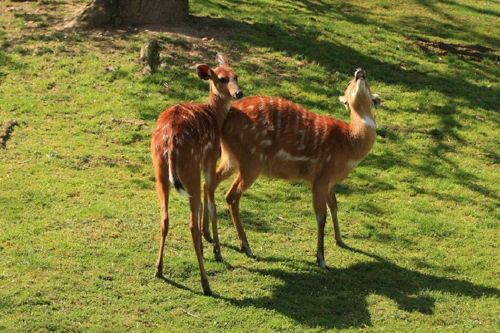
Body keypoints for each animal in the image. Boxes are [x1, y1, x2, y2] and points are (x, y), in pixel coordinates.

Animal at [151, 53, 243, 294]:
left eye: (236, 75)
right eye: (221, 78)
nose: (239, 93)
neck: (214, 116)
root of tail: (171, 142)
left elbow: (203, 202)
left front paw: (206, 241)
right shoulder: (209, 159)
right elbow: (211, 203)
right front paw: (216, 249)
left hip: (161, 171)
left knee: (164, 217)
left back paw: (158, 269)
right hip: (189, 167)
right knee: (190, 223)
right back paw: (206, 283)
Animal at [203, 67, 378, 268]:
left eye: (367, 83)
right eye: (349, 83)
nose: (360, 72)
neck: (349, 145)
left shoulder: (329, 181)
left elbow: (334, 206)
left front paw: (341, 240)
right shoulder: (321, 177)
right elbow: (321, 216)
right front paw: (321, 259)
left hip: (230, 158)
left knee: (209, 183)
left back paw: (208, 236)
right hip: (252, 161)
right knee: (231, 195)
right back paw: (245, 246)